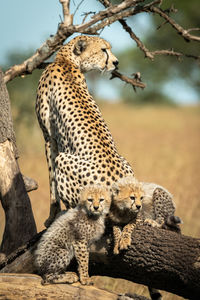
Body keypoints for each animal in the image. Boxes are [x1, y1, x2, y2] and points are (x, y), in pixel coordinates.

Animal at [35, 35, 134, 225]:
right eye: (103, 50)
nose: (116, 62)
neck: (66, 60)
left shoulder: (49, 139)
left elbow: (52, 183)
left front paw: (51, 217)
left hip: (64, 159)